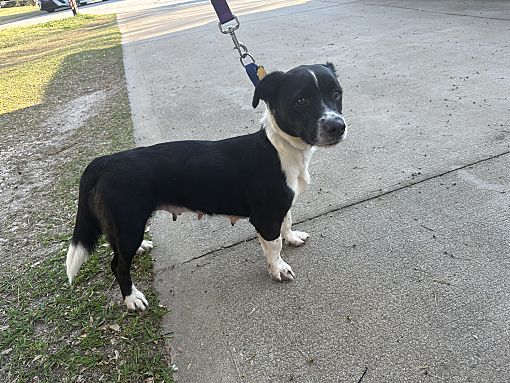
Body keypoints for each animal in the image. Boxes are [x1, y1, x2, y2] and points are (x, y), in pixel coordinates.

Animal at [66, 61, 346, 310]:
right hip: (129, 225)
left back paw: (142, 248)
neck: (282, 148)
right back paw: (131, 298)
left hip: (124, 226)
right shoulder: (266, 217)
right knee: (118, 265)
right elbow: (273, 245)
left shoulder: (281, 207)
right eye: (301, 100)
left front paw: (291, 237)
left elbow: (286, 223)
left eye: (336, 93)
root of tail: (105, 162)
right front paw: (278, 268)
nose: (337, 126)